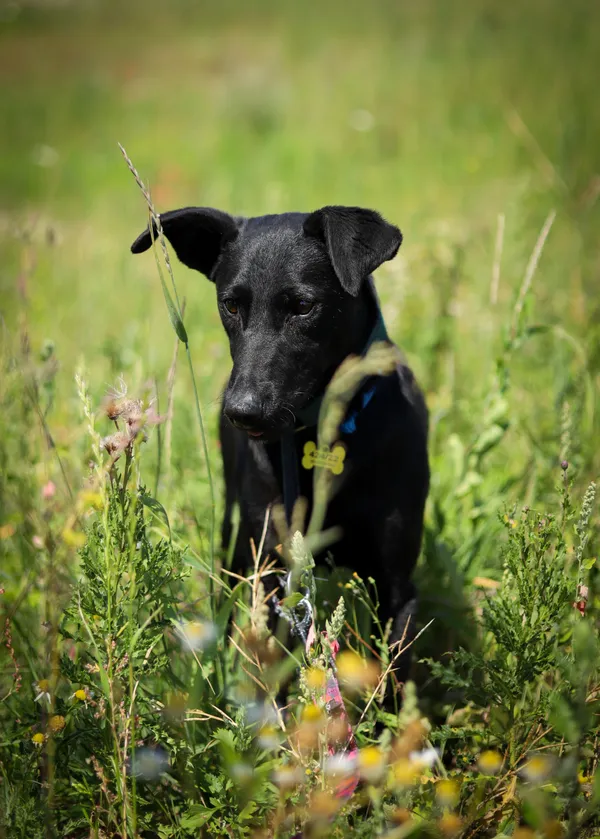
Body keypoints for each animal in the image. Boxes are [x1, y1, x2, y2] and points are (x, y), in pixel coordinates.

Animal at [134, 205, 428, 676]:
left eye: (304, 306)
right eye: (231, 304)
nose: (242, 411)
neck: (322, 439)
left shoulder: (396, 589)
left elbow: (392, 681)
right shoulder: (274, 577)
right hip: (236, 538)